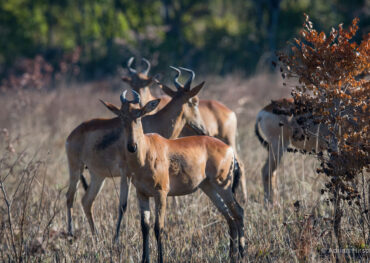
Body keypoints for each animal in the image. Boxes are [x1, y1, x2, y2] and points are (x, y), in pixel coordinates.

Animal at [64, 66, 208, 239]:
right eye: (194, 102)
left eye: (139, 115)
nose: (203, 130)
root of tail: (72, 134)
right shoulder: (125, 172)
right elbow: (122, 205)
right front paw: (116, 238)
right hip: (76, 168)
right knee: (70, 197)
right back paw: (71, 234)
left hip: (98, 175)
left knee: (87, 201)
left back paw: (96, 235)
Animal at [101, 89, 246, 262]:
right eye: (122, 116)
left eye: (139, 114)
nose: (131, 146)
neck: (147, 150)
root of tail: (228, 149)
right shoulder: (142, 194)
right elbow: (145, 227)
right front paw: (144, 259)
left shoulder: (161, 193)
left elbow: (159, 228)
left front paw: (161, 259)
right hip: (209, 187)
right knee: (229, 216)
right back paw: (231, 255)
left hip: (223, 185)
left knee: (238, 211)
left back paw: (242, 252)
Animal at [121, 57, 247, 202]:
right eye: (131, 84)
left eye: (146, 83)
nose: (203, 130)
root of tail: (230, 111)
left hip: (228, 140)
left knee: (240, 164)